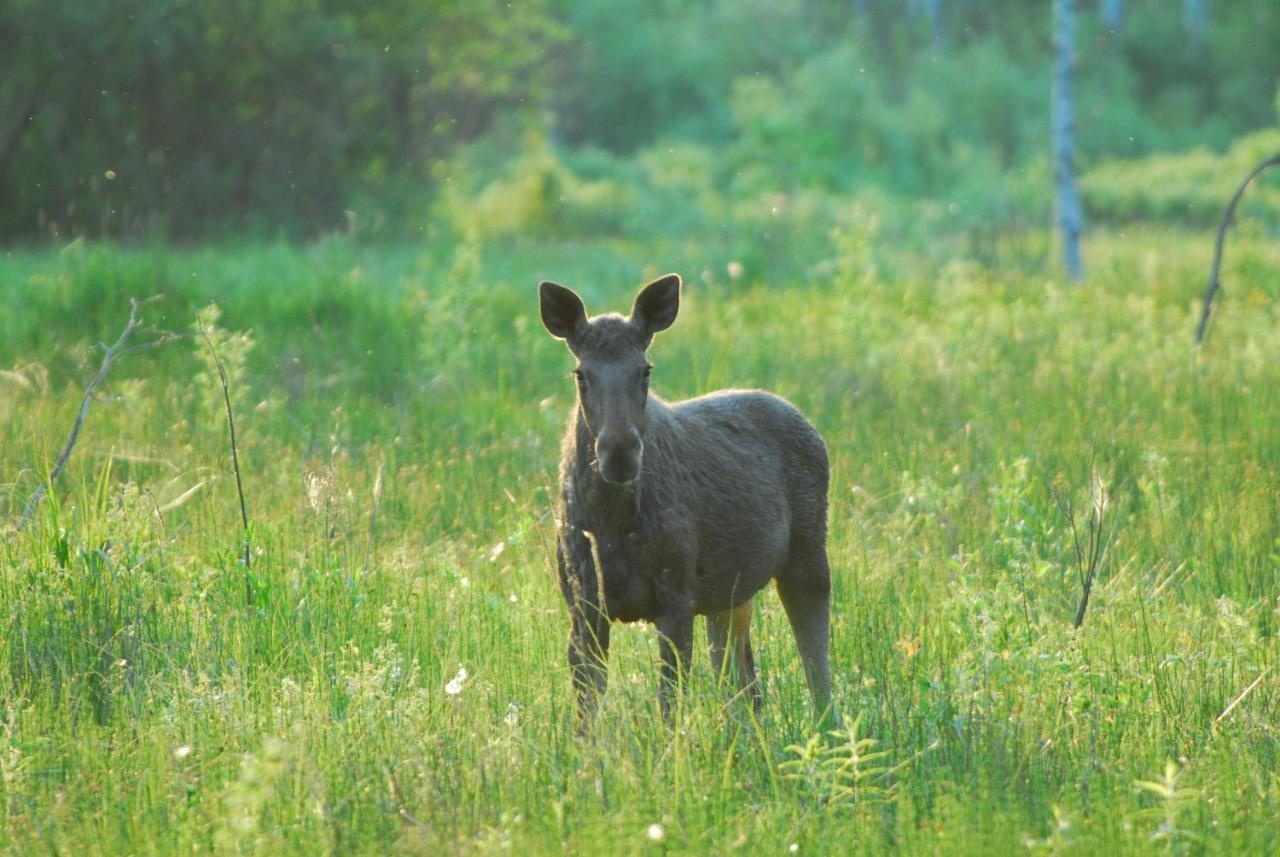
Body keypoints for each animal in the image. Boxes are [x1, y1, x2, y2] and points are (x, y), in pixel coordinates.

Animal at [540, 273, 839, 726]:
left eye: (645, 370)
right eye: (581, 374)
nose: (619, 452)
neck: (611, 524)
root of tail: (805, 421)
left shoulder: (678, 595)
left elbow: (668, 705)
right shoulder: (583, 607)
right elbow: (586, 714)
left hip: (806, 553)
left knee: (816, 667)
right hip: (729, 594)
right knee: (746, 684)